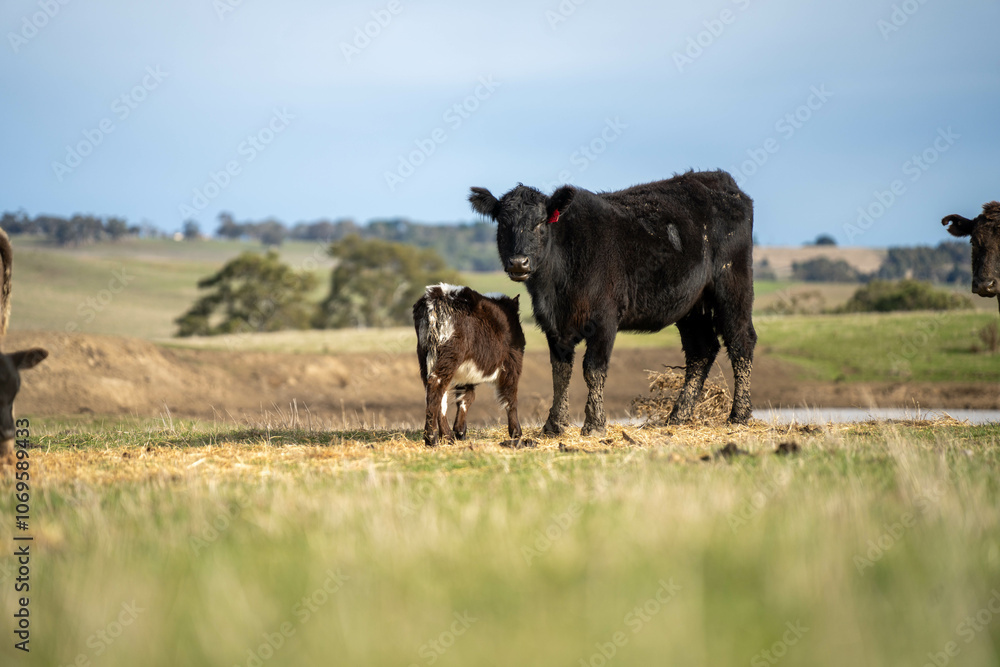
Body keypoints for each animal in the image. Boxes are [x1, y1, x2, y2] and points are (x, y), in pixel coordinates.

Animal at [413, 284, 526, 447]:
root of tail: (435, 296)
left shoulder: (466, 374)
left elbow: (466, 397)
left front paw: (460, 431)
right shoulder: (512, 363)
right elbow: (510, 397)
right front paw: (516, 432)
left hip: (425, 356)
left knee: (438, 392)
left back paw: (447, 436)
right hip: (449, 355)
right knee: (437, 385)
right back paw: (432, 438)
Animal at [469, 170, 756, 436]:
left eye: (540, 223)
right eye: (503, 224)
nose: (519, 263)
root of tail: (720, 180)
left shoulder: (604, 319)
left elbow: (593, 370)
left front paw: (595, 424)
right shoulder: (554, 325)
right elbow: (560, 372)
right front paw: (554, 425)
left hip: (733, 284)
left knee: (741, 341)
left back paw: (739, 415)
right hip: (692, 305)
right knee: (701, 350)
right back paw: (677, 416)